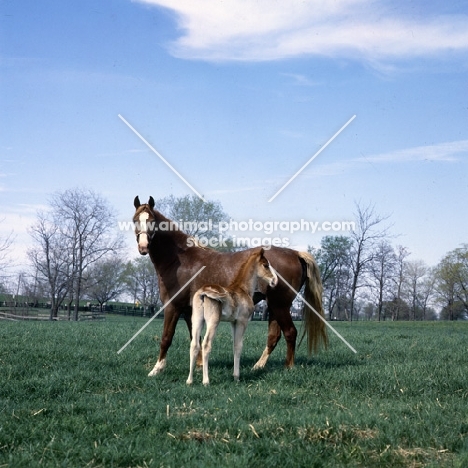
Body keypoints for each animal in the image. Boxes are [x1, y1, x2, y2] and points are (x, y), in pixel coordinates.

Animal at [187, 247, 278, 386]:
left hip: (197, 320)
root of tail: (203, 292)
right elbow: (238, 346)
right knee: (206, 344)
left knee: (194, 345)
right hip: (213, 321)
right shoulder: (242, 321)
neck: (243, 289)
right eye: (266, 265)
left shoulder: (233, 322)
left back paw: (189, 380)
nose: (275, 281)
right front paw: (236, 376)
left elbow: (234, 344)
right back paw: (206, 381)